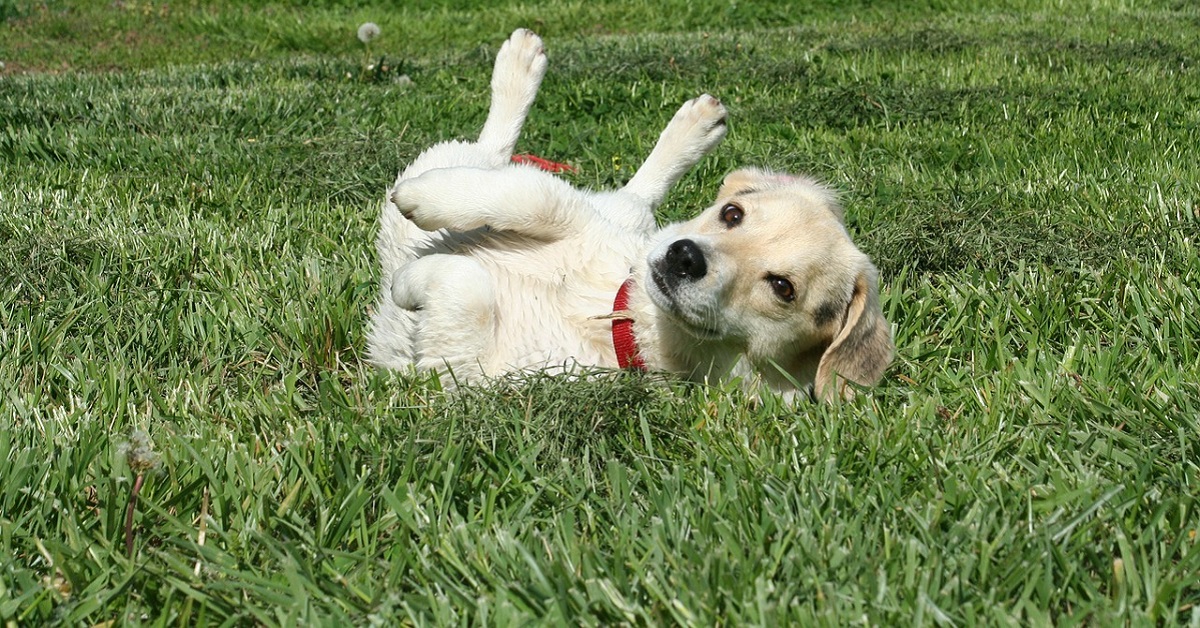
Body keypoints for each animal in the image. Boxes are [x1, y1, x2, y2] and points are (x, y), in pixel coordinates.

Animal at [364, 27, 892, 401]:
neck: (619, 314)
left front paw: (408, 280)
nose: (684, 256)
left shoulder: (473, 382)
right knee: (542, 169)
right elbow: (536, 196)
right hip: (612, 213)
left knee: (495, 151)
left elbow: (464, 287)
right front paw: (429, 199)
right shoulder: (576, 222)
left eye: (783, 288)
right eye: (732, 214)